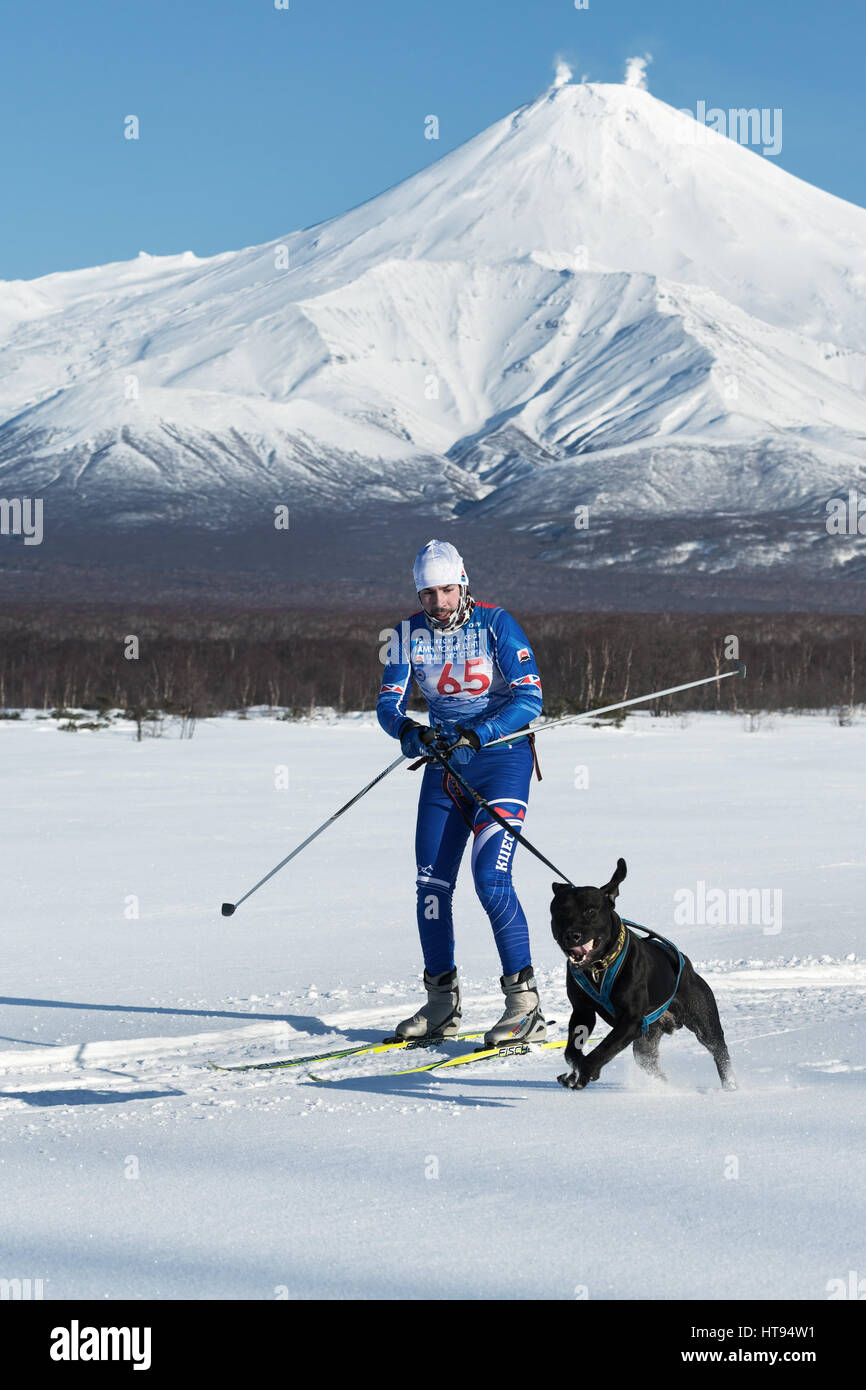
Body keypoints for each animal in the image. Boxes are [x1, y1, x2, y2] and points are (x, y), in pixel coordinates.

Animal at [553, 861, 733, 1089]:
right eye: (559, 912)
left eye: (591, 911)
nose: (571, 935)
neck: (598, 968)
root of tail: (688, 968)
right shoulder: (582, 1012)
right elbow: (571, 1050)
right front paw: (573, 1071)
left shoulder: (630, 1021)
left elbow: (604, 1048)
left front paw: (585, 1072)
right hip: (645, 1044)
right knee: (651, 1064)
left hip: (704, 1022)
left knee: (720, 1052)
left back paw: (730, 1087)